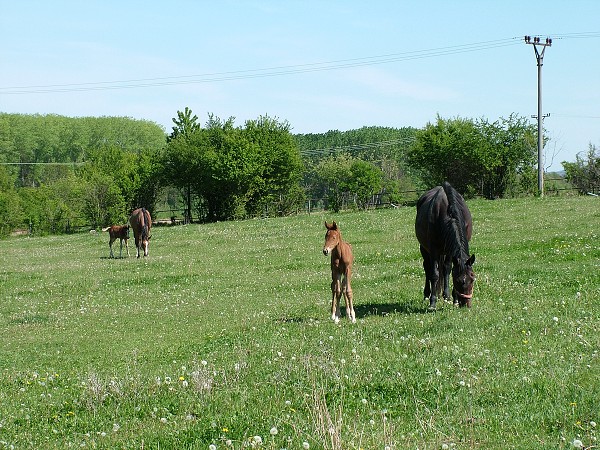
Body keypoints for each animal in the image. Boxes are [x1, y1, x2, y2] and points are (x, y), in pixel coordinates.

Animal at [414, 181, 476, 312]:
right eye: (459, 281)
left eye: (472, 278)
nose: (466, 304)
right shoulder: (433, 250)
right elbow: (434, 274)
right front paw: (432, 302)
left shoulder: (451, 252)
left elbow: (448, 269)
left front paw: (453, 299)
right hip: (424, 248)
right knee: (427, 267)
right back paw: (426, 295)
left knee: (444, 268)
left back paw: (445, 296)